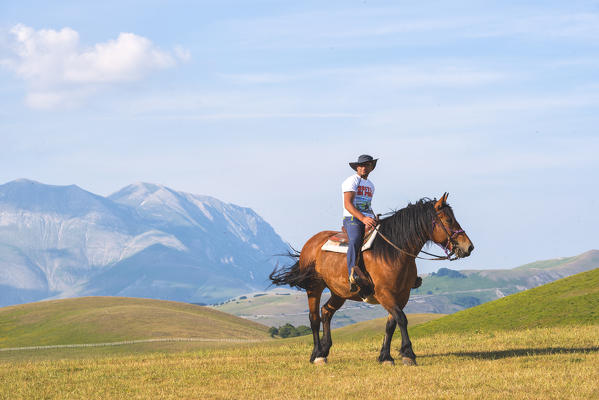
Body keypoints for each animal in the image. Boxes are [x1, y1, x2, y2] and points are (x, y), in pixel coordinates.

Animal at [270, 194, 474, 366]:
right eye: (448, 220)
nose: (469, 247)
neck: (394, 252)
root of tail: (311, 243)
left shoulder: (402, 295)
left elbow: (391, 323)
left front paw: (386, 356)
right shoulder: (384, 294)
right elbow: (402, 319)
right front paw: (408, 354)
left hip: (340, 292)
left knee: (326, 312)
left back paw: (324, 351)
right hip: (314, 287)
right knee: (314, 318)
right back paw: (316, 355)